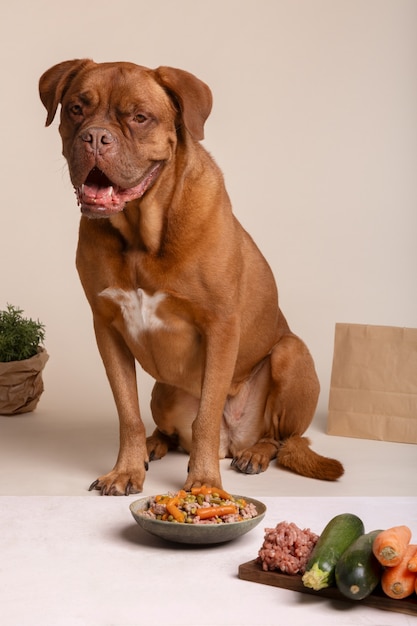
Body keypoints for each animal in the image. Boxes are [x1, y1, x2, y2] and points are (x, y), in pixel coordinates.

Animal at [39, 61, 342, 494]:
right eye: (77, 109)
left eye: (139, 117)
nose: (95, 138)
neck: (141, 234)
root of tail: (233, 443)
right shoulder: (107, 328)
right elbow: (128, 414)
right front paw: (126, 469)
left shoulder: (220, 328)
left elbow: (206, 418)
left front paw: (204, 482)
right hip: (162, 391)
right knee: (167, 429)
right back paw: (155, 444)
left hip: (291, 354)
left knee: (283, 439)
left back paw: (255, 453)